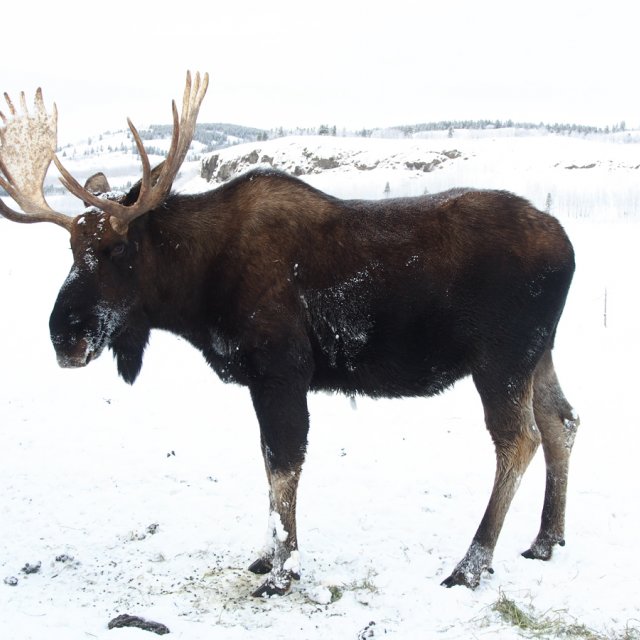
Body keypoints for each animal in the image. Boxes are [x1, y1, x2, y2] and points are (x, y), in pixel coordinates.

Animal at [0, 72, 576, 596]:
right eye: (72, 250)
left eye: (119, 248)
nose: (63, 336)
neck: (199, 291)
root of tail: (568, 249)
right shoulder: (265, 380)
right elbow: (269, 466)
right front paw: (265, 558)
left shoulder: (281, 370)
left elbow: (283, 466)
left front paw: (283, 572)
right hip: (540, 352)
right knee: (561, 422)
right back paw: (546, 539)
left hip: (501, 357)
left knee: (518, 439)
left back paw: (472, 563)